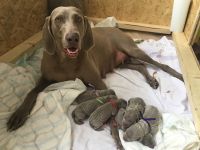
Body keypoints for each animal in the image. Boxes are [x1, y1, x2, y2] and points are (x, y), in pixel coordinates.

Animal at [7, 6, 183, 131]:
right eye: (58, 19)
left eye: (78, 18)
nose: (73, 37)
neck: (66, 60)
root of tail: (116, 29)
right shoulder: (45, 78)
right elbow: (31, 92)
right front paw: (18, 114)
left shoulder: (97, 82)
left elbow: (101, 94)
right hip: (122, 62)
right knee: (140, 66)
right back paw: (151, 80)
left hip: (131, 50)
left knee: (160, 64)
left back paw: (177, 75)